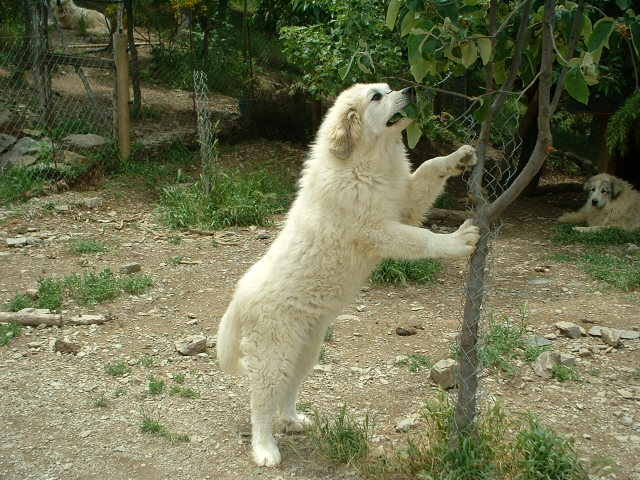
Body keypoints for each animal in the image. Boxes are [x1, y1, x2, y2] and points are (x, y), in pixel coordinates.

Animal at [216, 82, 480, 464]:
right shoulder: (379, 231)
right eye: (376, 97)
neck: (366, 161)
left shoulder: (405, 205)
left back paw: (293, 420)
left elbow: (428, 170)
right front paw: (458, 241)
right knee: (260, 400)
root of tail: (238, 298)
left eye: (388, 88)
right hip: (274, 353)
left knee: (288, 389)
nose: (411, 89)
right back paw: (265, 448)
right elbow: (421, 240)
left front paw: (458, 157)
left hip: (306, 349)